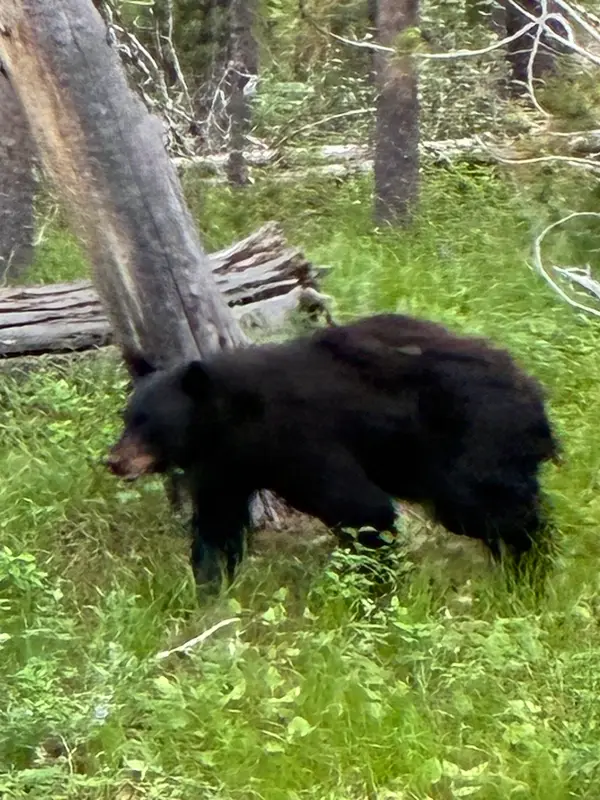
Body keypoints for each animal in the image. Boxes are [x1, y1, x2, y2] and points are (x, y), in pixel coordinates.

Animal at [106, 313, 560, 590]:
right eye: (127, 416)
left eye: (150, 424)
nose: (114, 461)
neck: (237, 421)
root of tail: (533, 392)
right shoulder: (227, 465)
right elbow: (217, 527)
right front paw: (208, 593)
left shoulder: (301, 440)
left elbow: (361, 508)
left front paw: (374, 588)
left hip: (472, 440)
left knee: (490, 509)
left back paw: (529, 571)